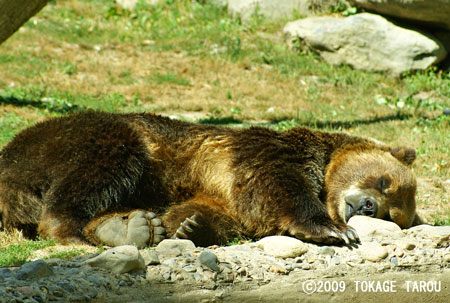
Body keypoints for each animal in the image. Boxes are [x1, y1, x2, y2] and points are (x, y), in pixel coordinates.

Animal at [0, 110, 422, 248]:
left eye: (391, 214)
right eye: (384, 182)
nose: (367, 206)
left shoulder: (224, 196)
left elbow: (219, 212)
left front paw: (186, 226)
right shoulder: (263, 151)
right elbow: (274, 181)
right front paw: (332, 230)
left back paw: (131, 227)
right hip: (89, 137)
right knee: (104, 162)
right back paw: (71, 232)